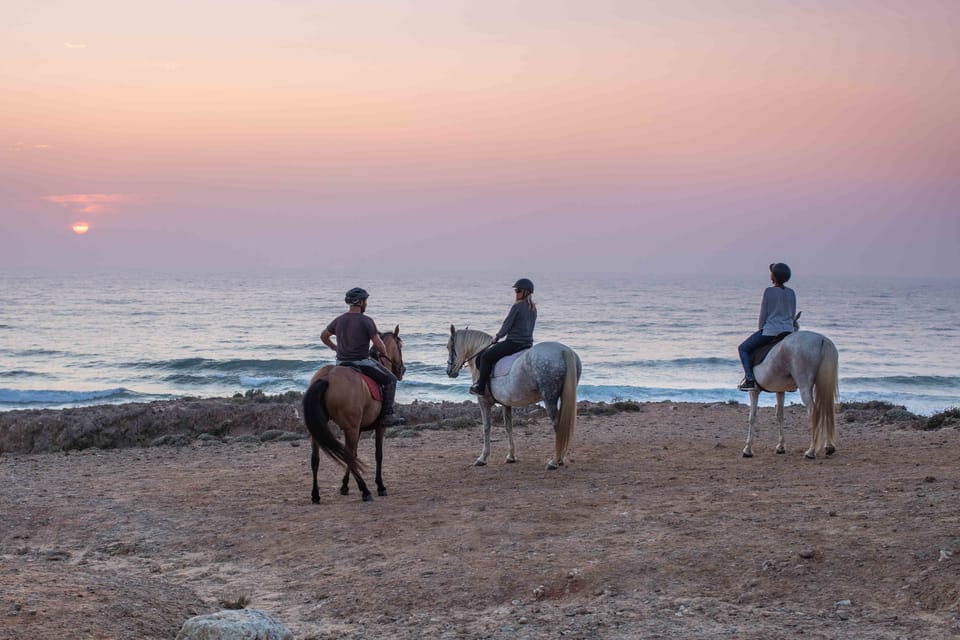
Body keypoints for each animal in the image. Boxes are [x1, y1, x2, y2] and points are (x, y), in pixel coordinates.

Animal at [302, 328, 404, 502]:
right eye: (400, 346)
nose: (402, 370)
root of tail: (327, 377)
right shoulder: (378, 427)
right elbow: (378, 455)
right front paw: (380, 485)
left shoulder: (358, 429)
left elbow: (355, 454)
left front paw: (344, 485)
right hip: (351, 428)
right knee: (348, 456)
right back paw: (365, 490)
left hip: (320, 428)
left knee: (316, 459)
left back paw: (315, 495)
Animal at [446, 324, 580, 470]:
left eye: (449, 347)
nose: (449, 372)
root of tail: (564, 351)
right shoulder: (506, 403)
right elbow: (508, 427)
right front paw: (511, 456)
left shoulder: (483, 402)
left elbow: (486, 428)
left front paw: (482, 458)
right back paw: (560, 459)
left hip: (549, 398)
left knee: (557, 426)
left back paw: (554, 461)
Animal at [744, 316, 840, 460]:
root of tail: (822, 340)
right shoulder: (780, 390)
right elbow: (780, 415)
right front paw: (780, 447)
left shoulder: (754, 391)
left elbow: (752, 417)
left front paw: (748, 449)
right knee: (826, 410)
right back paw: (829, 447)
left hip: (804, 386)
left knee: (814, 412)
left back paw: (811, 451)